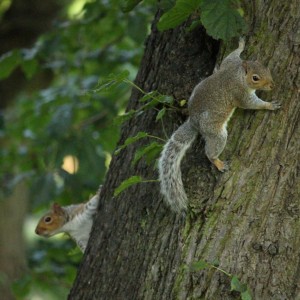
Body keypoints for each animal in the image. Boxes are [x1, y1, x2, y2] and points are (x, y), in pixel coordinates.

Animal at [159, 38, 282, 212]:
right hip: (215, 132)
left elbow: (231, 56)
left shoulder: (231, 63)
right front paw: (269, 105)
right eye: (255, 78)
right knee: (210, 151)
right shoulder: (241, 95)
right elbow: (251, 104)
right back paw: (218, 163)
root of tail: (193, 122)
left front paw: (241, 44)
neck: (238, 75)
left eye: (267, 68)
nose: (272, 85)